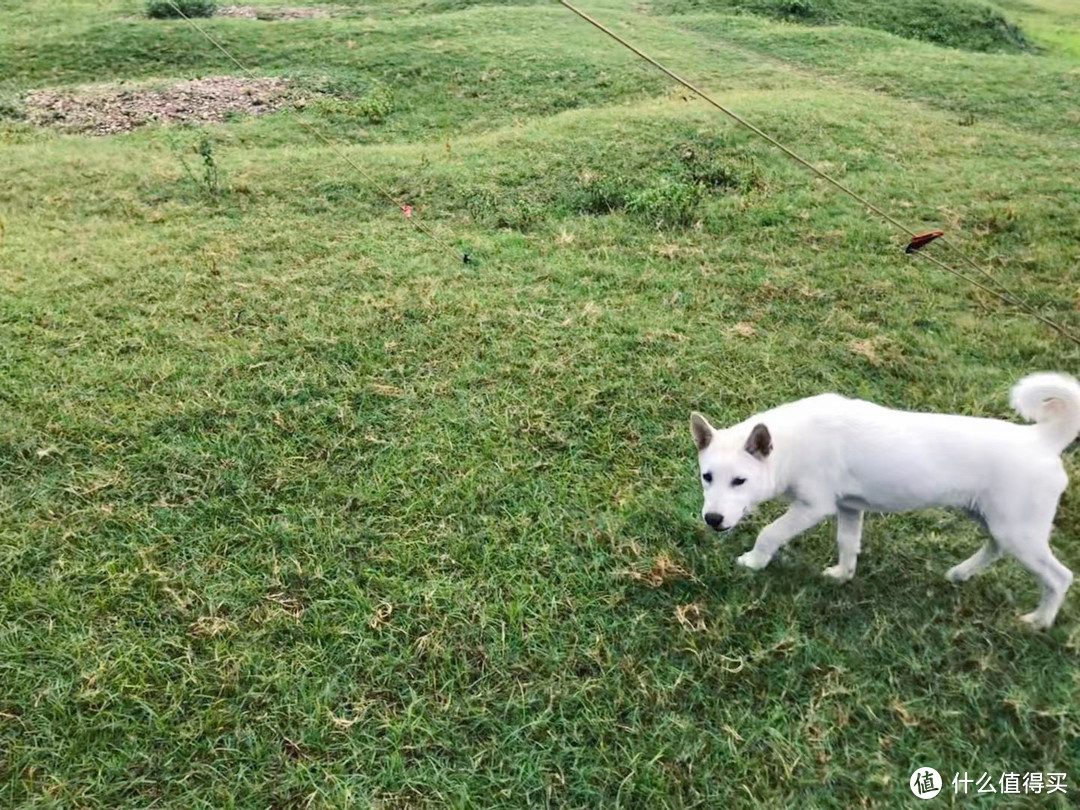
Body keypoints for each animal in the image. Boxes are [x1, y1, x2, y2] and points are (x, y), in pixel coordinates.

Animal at [691, 371, 1080, 630]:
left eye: (740, 481)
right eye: (707, 477)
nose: (713, 519)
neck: (791, 443)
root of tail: (1042, 439)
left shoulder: (814, 506)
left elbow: (770, 532)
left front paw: (754, 561)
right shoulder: (849, 507)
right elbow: (847, 544)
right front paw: (842, 575)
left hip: (1019, 532)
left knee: (1059, 578)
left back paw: (1038, 621)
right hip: (993, 520)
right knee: (995, 548)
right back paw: (960, 573)